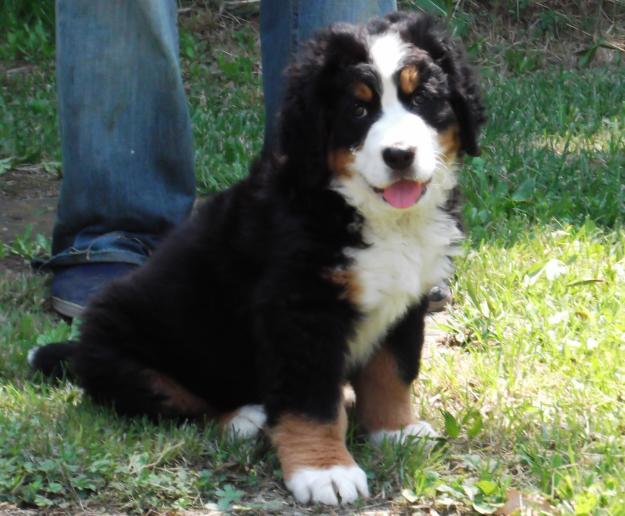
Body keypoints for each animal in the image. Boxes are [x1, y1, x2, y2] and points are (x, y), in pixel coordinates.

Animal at [29, 11, 486, 504]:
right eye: (358, 110)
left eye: (421, 98)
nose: (399, 155)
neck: (364, 210)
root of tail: (83, 347)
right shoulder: (299, 311)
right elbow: (310, 402)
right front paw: (324, 471)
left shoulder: (406, 298)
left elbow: (393, 372)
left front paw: (396, 431)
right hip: (126, 352)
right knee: (171, 403)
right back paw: (245, 418)